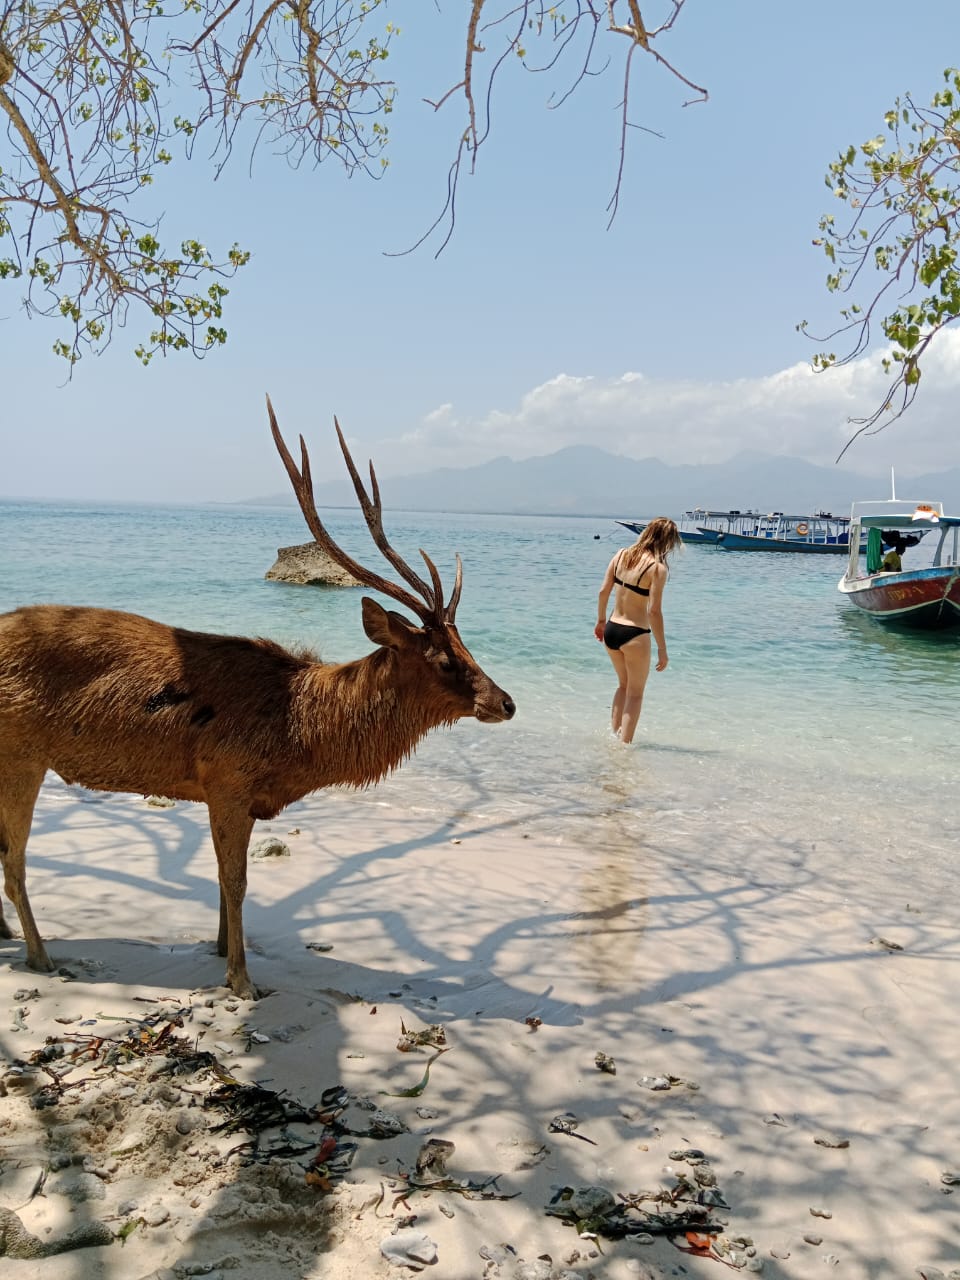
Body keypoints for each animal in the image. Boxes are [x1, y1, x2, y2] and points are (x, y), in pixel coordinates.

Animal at [0, 399, 519, 998]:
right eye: (442, 658)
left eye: (467, 645)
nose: (506, 702)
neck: (297, 737)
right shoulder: (227, 778)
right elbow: (236, 882)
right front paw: (242, 979)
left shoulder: (229, 792)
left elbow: (223, 882)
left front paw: (220, 949)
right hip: (20, 754)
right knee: (14, 862)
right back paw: (40, 955)